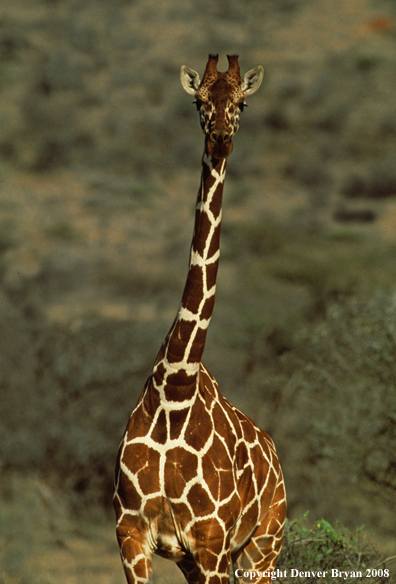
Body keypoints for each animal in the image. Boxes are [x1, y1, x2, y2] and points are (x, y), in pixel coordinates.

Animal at [113, 54, 286, 584]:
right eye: (198, 101)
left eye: (243, 103)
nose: (221, 139)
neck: (176, 390)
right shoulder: (132, 536)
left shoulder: (210, 541)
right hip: (209, 558)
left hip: (263, 546)